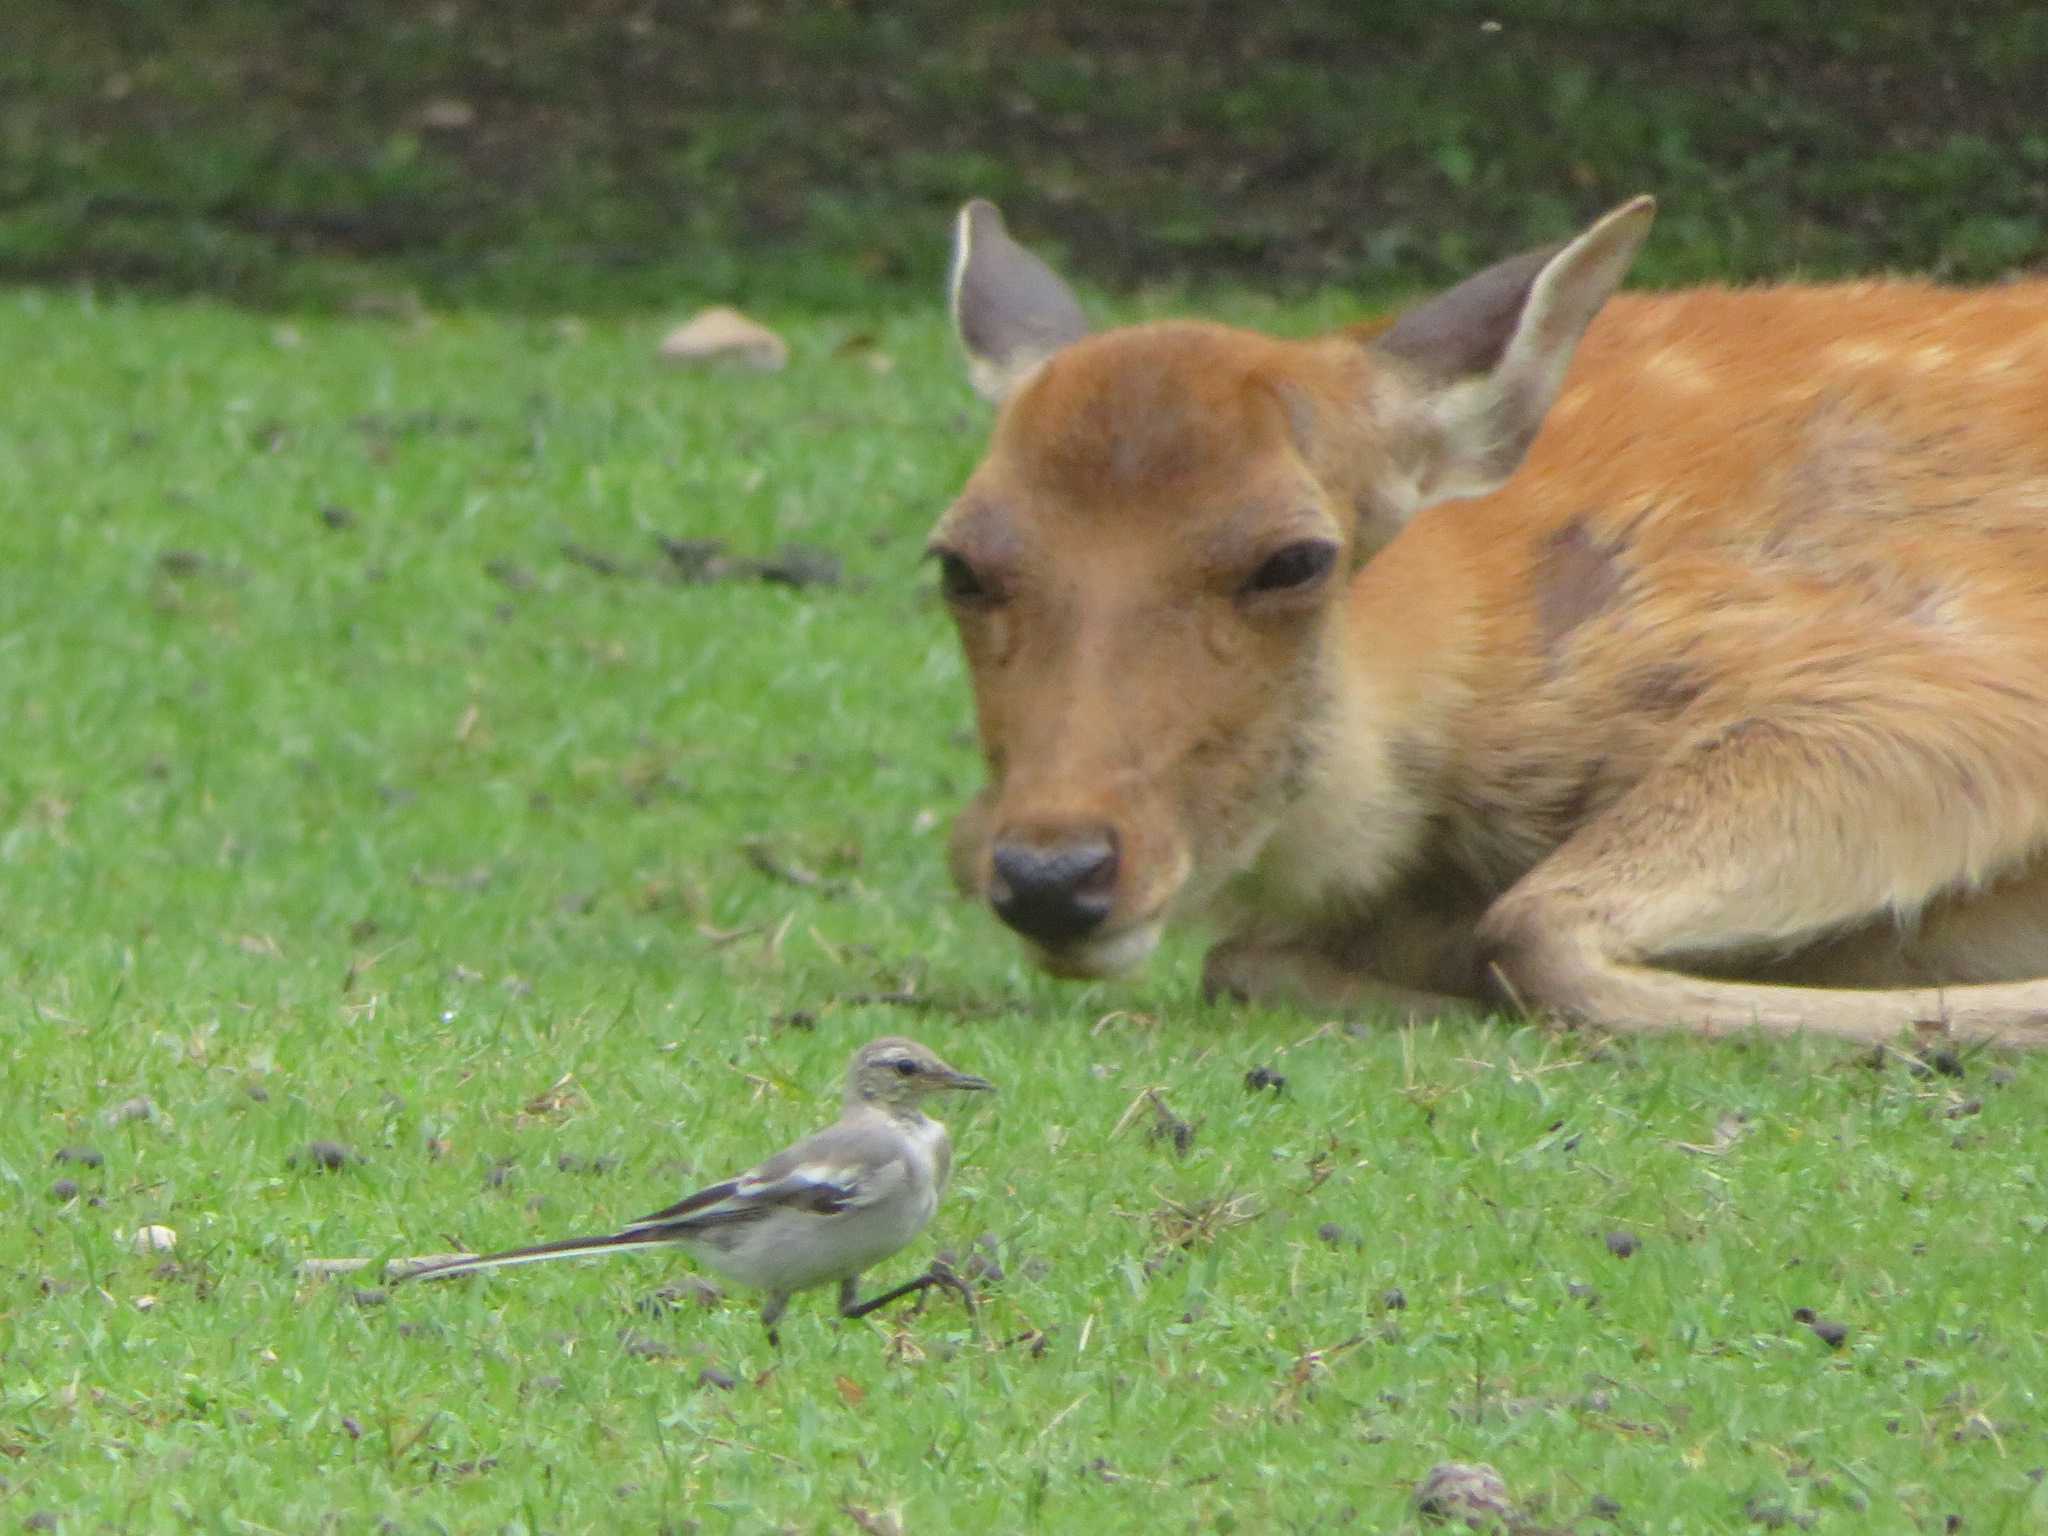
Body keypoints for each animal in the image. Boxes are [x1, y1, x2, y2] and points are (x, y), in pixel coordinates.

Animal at [929, 198, 2048, 1056]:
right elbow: (1246, 961)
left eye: (1294, 558)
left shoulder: (1958, 679)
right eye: (956, 563)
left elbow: (1532, 929)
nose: (1052, 875)